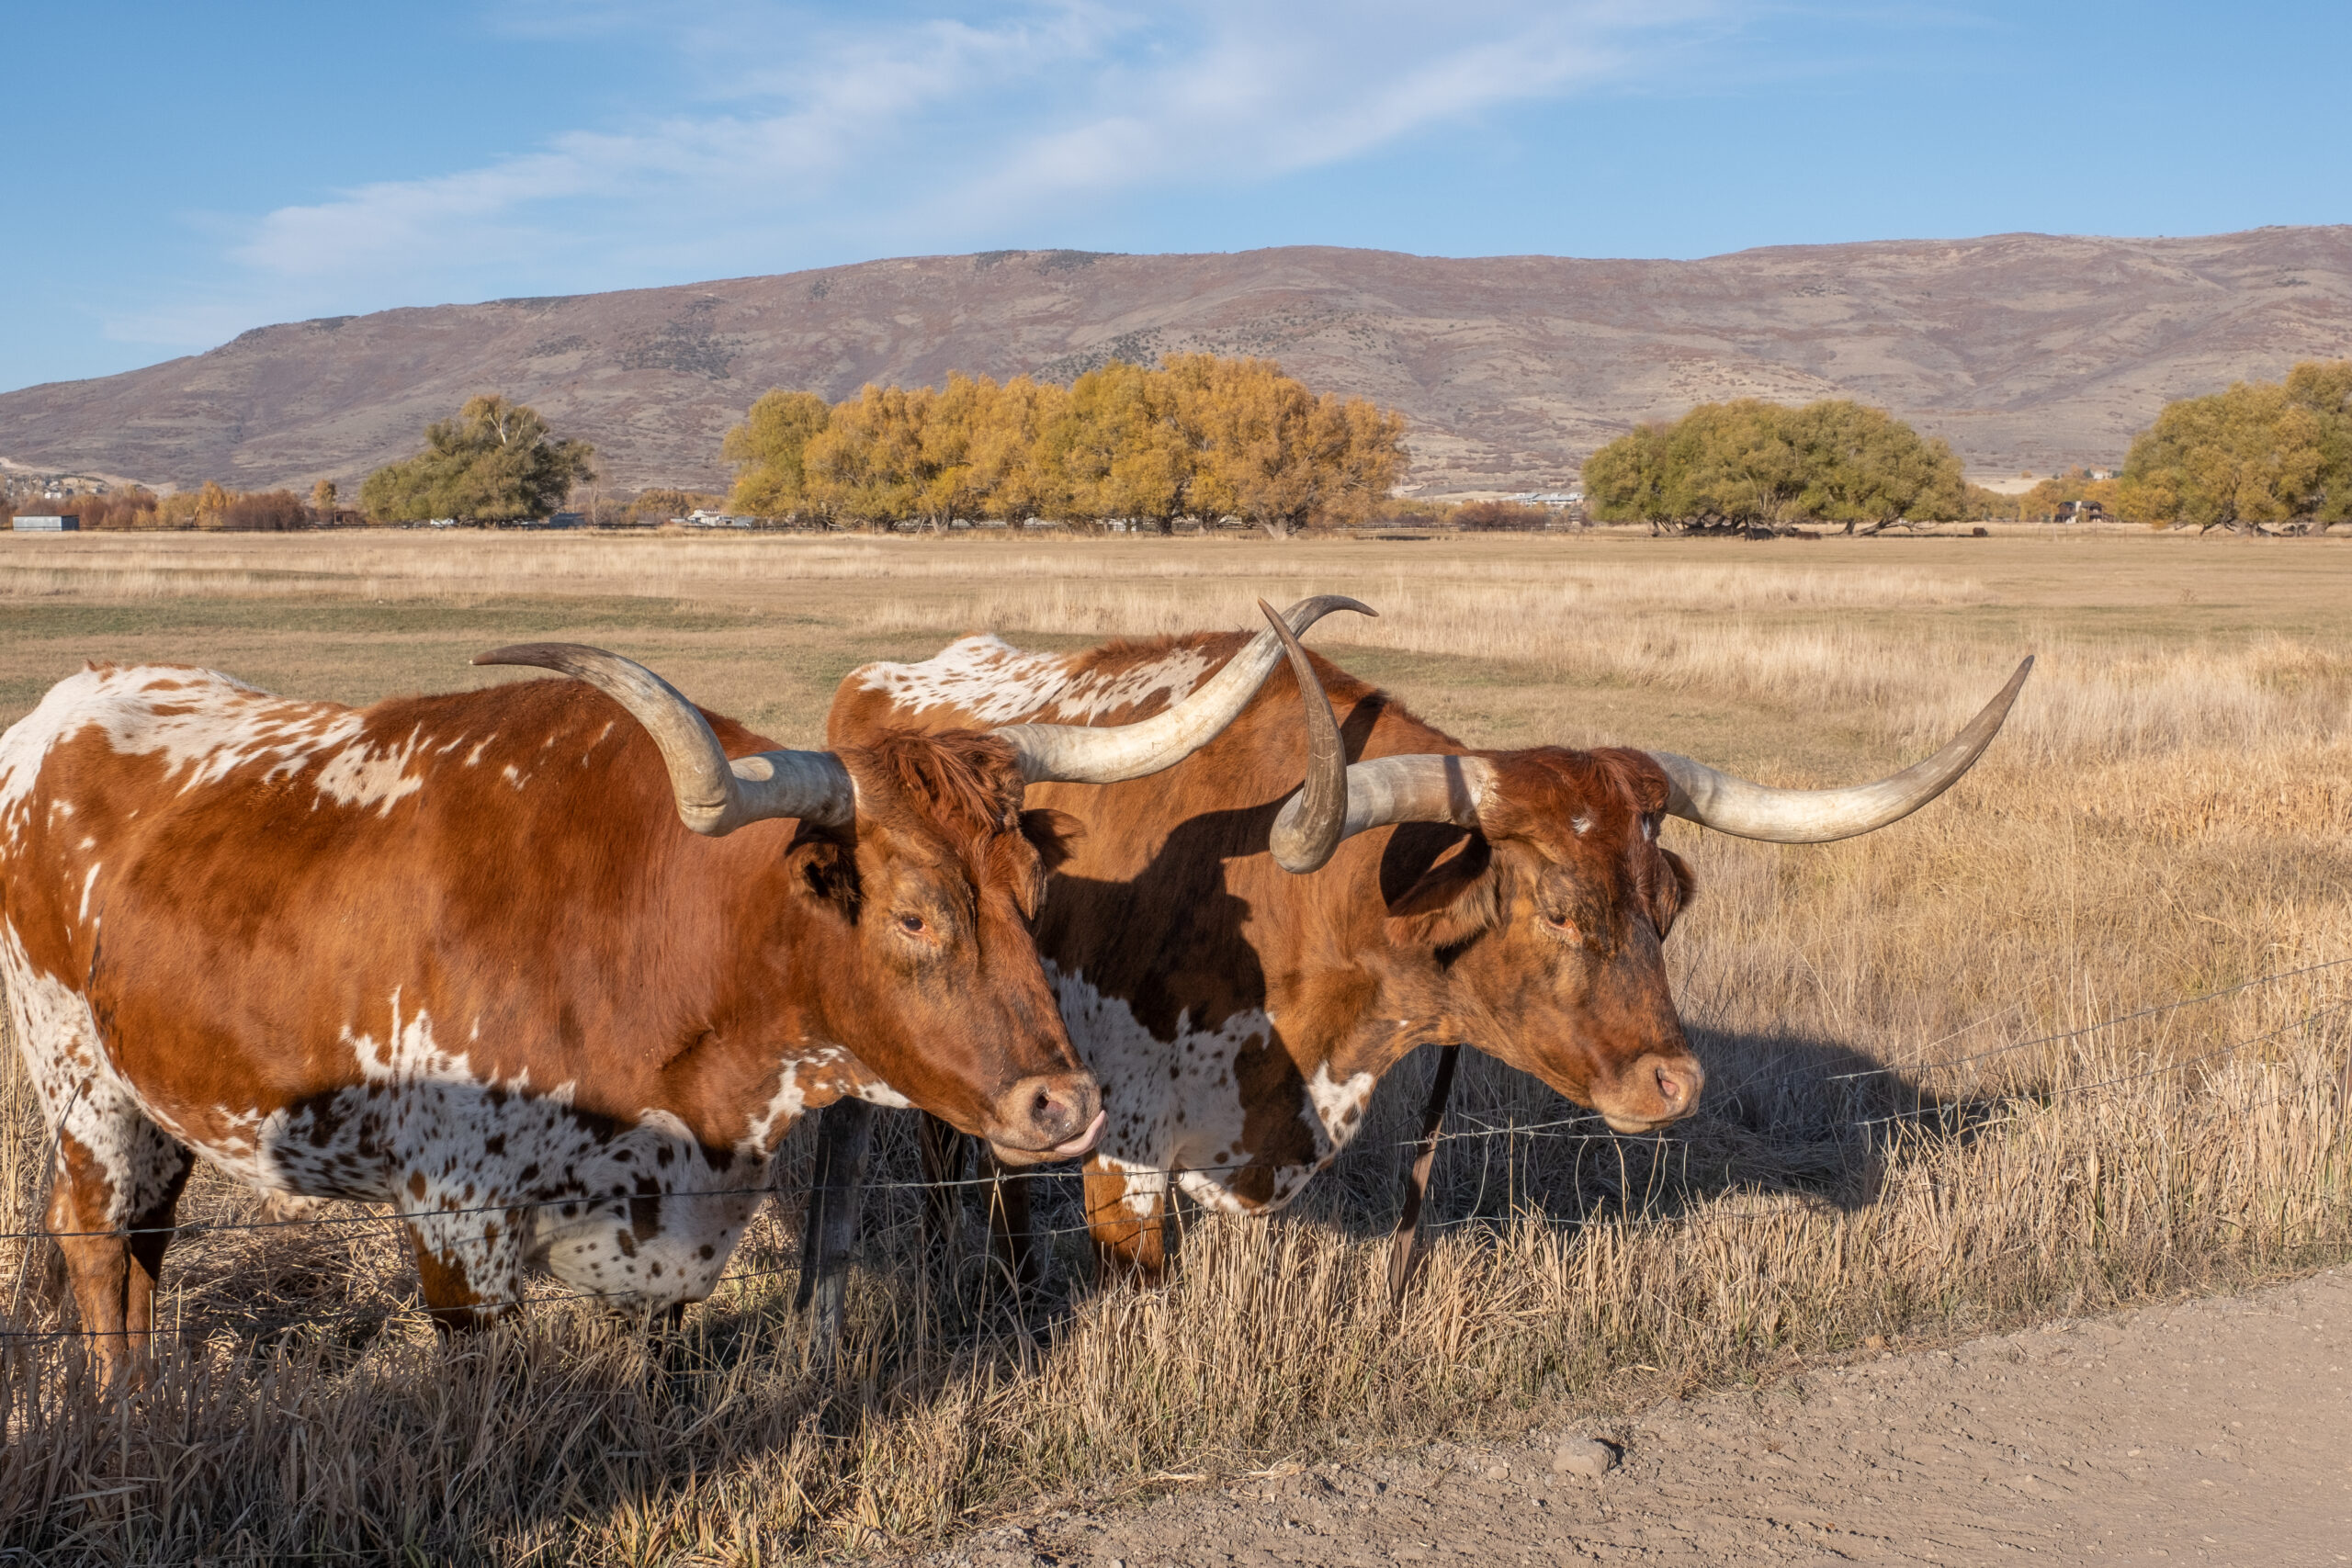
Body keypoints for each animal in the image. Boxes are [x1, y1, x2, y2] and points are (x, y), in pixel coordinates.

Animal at [0, 606, 1345, 1382]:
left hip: (160, 1090)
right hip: (78, 1079)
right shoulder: (458, 1225)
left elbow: (663, 1343)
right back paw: (123, 1417)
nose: (1064, 1106)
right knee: (93, 1241)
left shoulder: (671, 1206)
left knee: (145, 1240)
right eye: (913, 913)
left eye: (1033, 887)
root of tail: (63, 706)